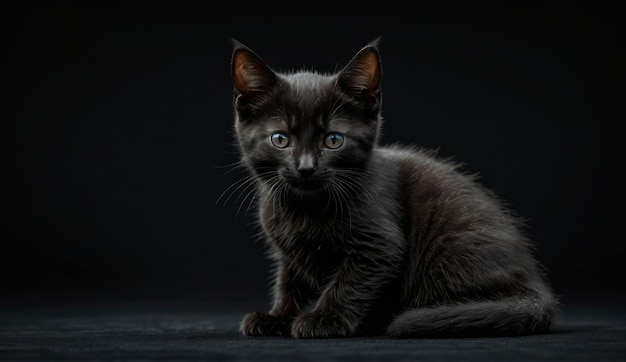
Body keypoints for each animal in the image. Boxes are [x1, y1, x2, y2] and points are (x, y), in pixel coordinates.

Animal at [230, 40, 556, 340]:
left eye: (334, 140)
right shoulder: (289, 254)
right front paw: (277, 317)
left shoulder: (379, 246)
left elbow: (348, 283)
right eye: (280, 139)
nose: (306, 168)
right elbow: (289, 283)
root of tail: (537, 290)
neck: (303, 207)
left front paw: (324, 319)